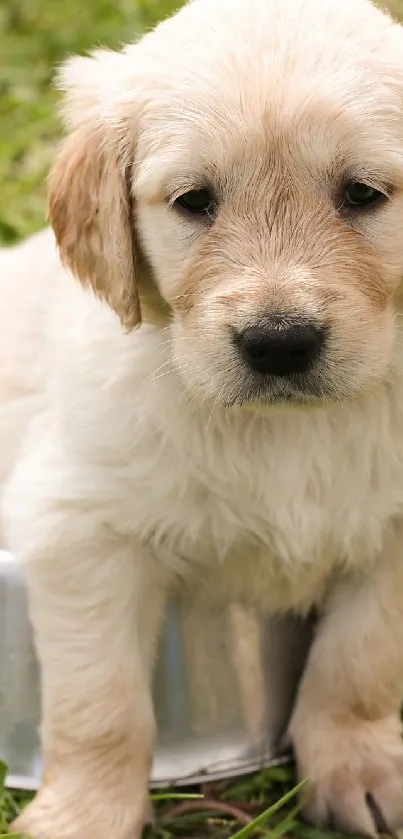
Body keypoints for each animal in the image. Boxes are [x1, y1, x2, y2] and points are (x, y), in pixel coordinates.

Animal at [2, 0, 403, 836]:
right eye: (194, 201)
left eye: (361, 194)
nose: (278, 342)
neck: (291, 429)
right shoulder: (76, 525)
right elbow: (100, 704)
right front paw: (84, 813)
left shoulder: (396, 529)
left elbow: (360, 658)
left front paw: (357, 768)